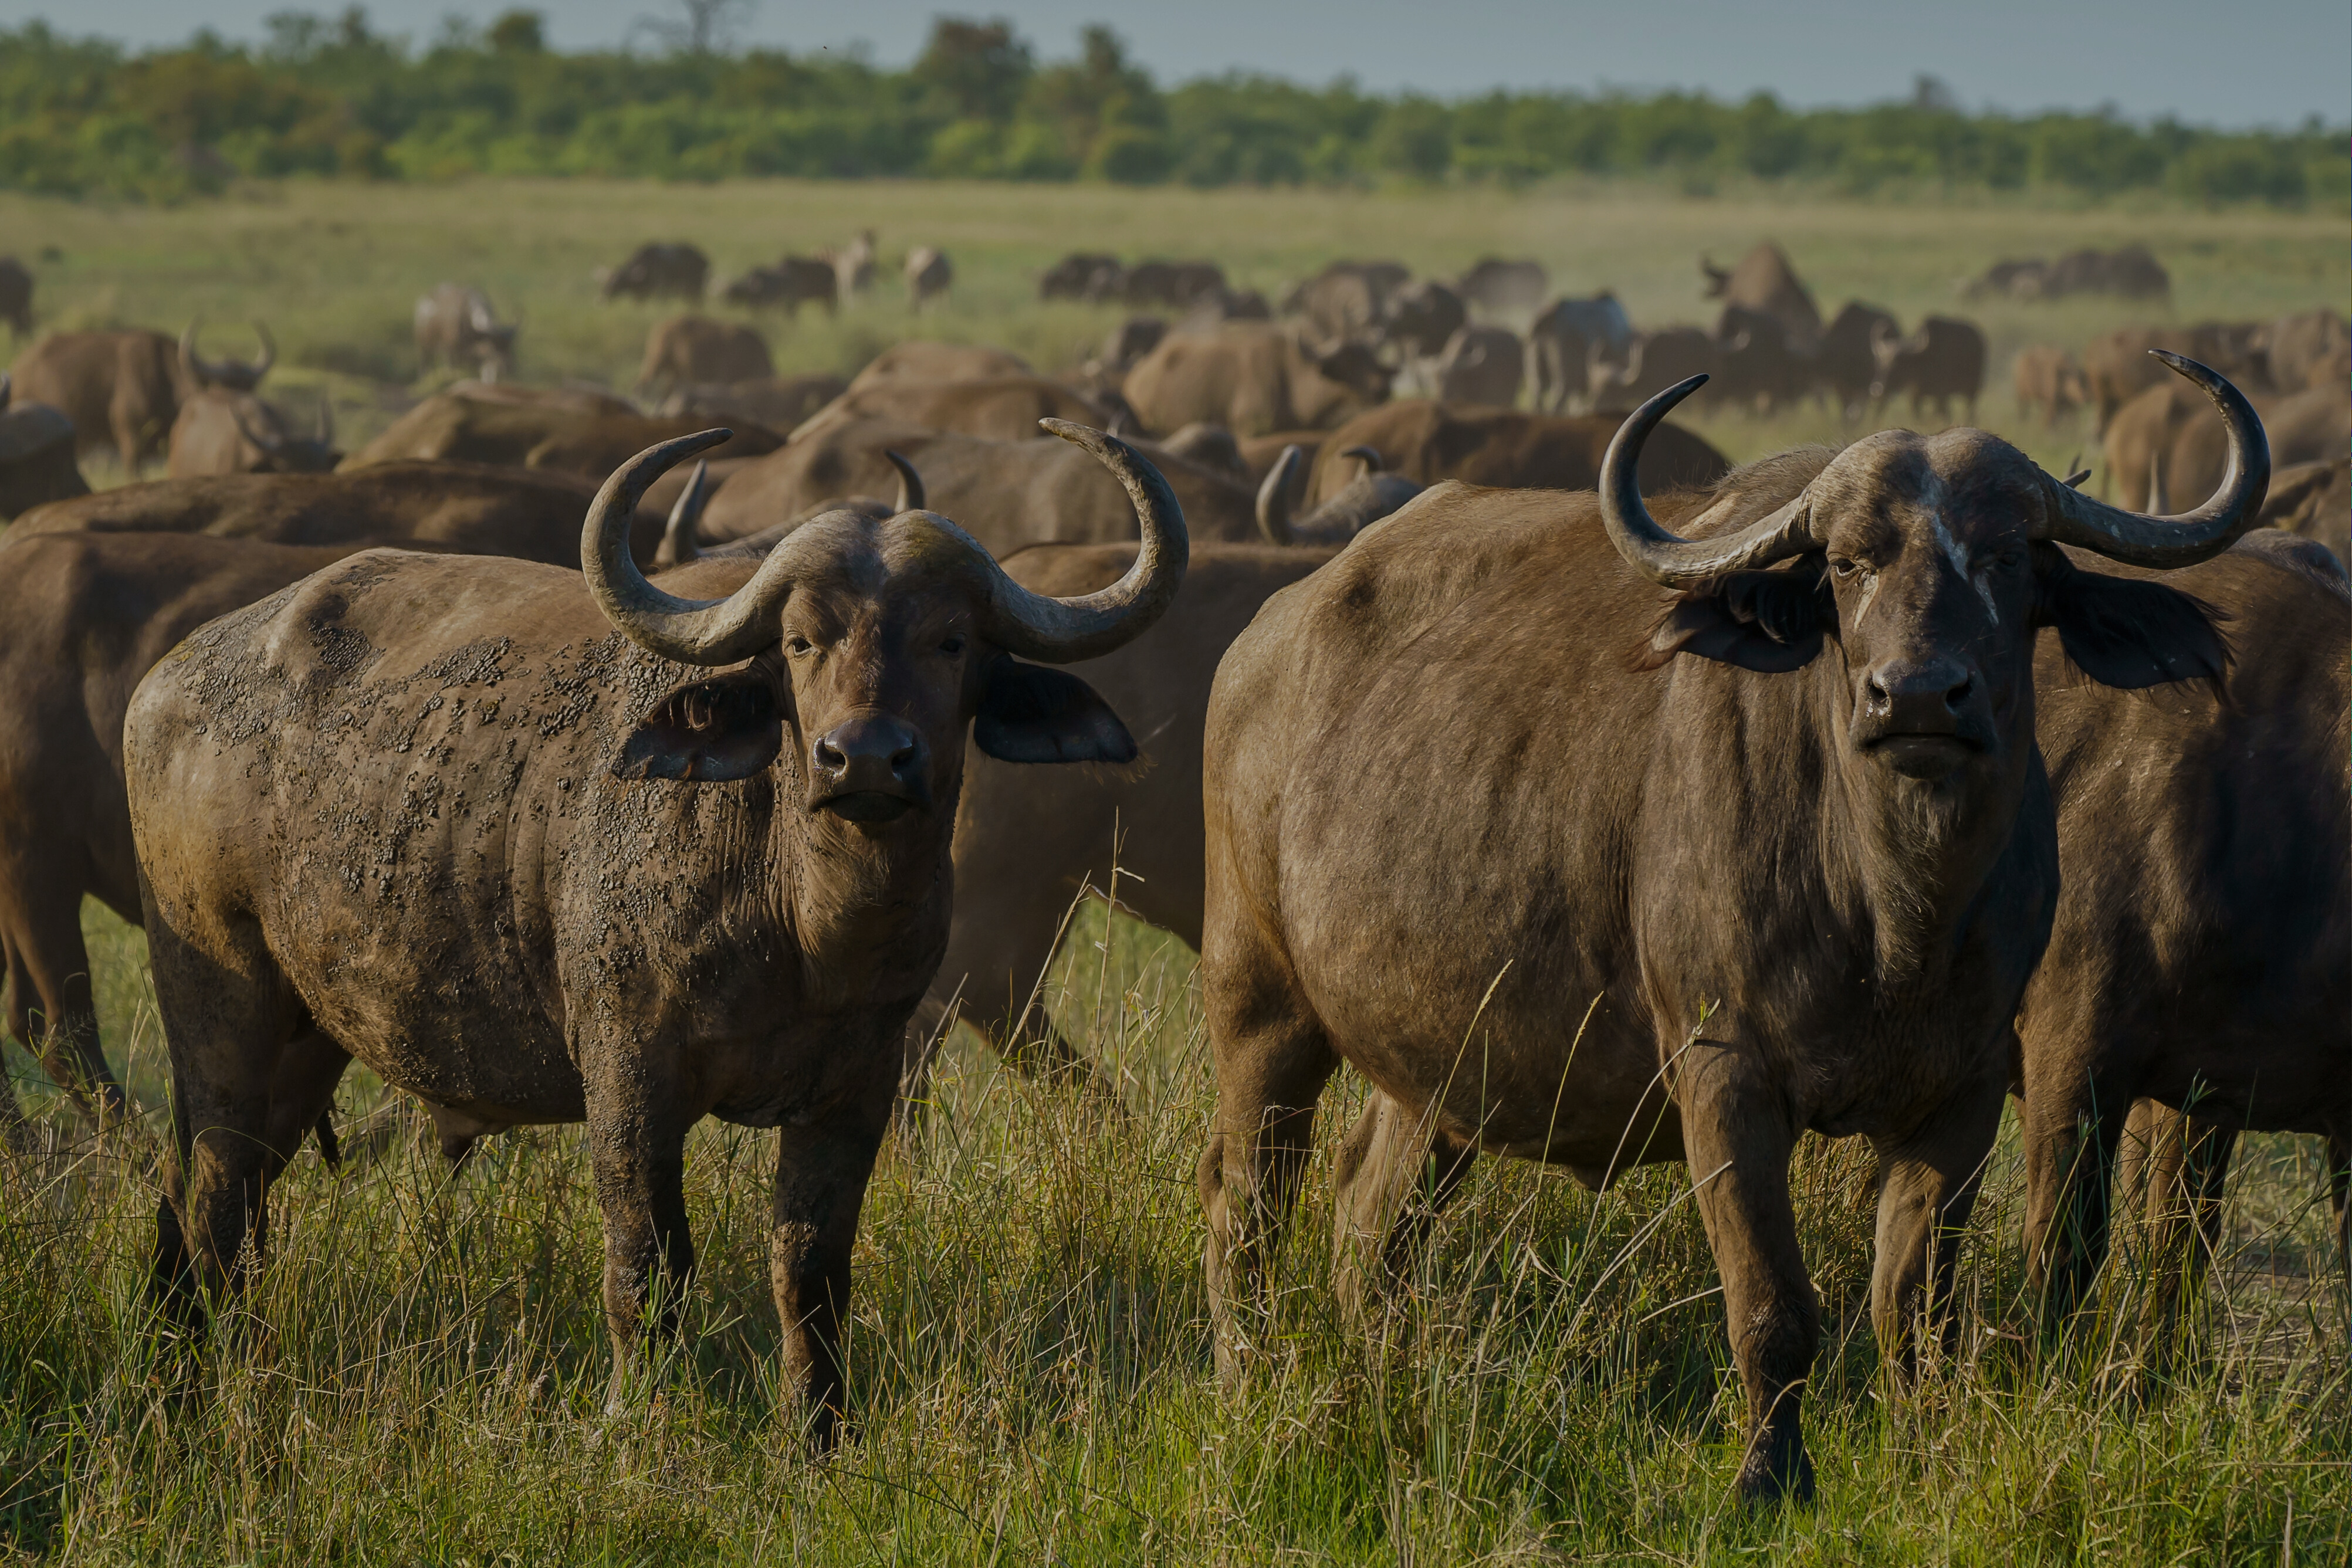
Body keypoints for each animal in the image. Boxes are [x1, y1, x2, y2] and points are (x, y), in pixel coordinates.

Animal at [124, 422, 1187, 1448]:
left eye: (951, 640)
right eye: (799, 640)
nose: (864, 758)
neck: (802, 927)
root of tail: (169, 680)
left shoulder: (857, 1088)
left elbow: (810, 1267)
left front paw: (819, 1431)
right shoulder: (630, 1079)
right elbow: (650, 1265)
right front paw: (638, 1421)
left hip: (310, 1039)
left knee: (208, 1197)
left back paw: (184, 1376)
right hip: (221, 1006)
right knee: (217, 1197)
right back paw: (204, 1390)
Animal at [1194, 356, 2265, 1503]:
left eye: (2008, 557)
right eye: (1844, 561)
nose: (1914, 696)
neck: (1892, 911)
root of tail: (1265, 638)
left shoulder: (1961, 1095)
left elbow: (1909, 1310)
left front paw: (1920, 1453)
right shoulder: (1724, 1076)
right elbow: (1772, 1307)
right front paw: (1768, 1478)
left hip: (1438, 1069)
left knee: (1369, 1217)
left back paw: (1381, 1381)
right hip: (1260, 1006)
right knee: (1244, 1198)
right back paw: (1248, 1381)